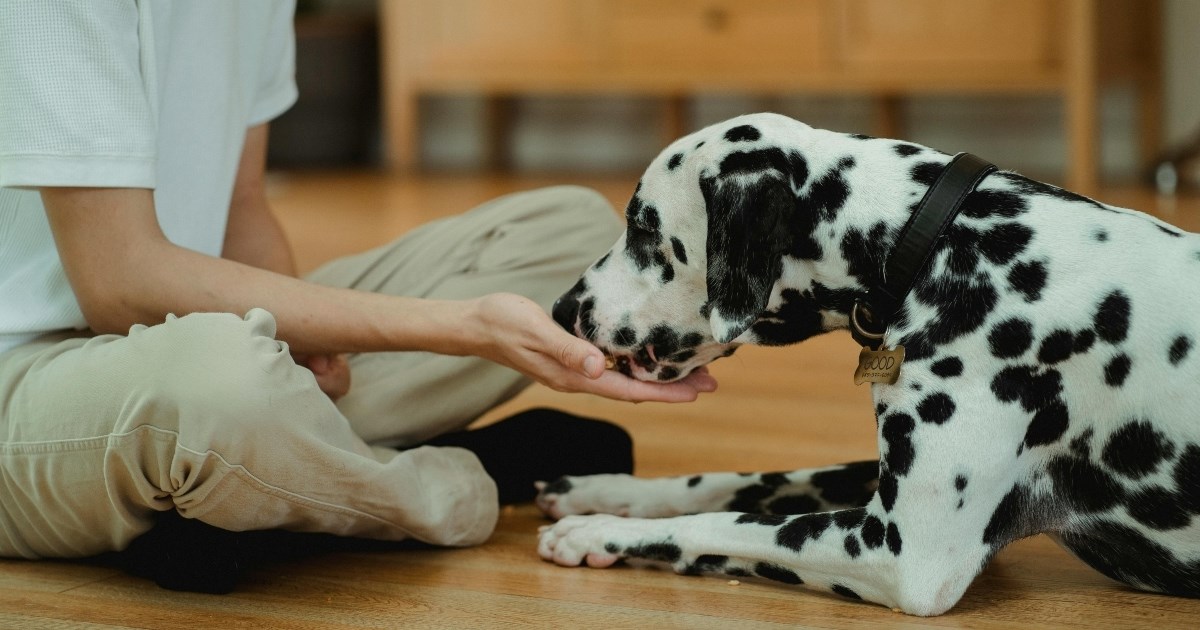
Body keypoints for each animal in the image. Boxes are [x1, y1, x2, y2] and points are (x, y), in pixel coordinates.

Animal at [540, 112, 1200, 614]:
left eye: (642, 228)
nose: (561, 308)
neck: (938, 243)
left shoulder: (898, 551)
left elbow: (723, 522)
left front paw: (600, 529)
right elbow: (735, 481)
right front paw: (606, 491)